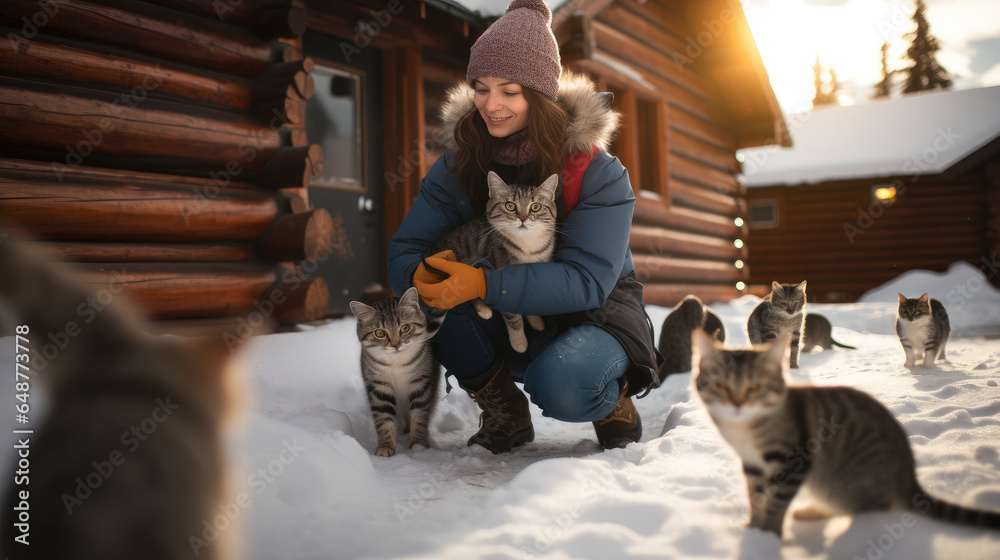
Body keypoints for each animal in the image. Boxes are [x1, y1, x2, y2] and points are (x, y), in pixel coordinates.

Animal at [354, 286, 444, 458]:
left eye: (405, 328)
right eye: (380, 333)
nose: (396, 345)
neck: (396, 364)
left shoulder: (421, 383)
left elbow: (419, 416)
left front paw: (419, 445)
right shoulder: (379, 387)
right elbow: (383, 419)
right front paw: (385, 447)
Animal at [424, 173, 564, 352]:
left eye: (536, 207)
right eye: (510, 206)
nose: (523, 218)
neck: (527, 245)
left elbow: (531, 299)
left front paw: (535, 321)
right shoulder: (500, 277)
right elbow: (513, 316)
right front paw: (519, 341)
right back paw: (483, 309)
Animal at [692, 330, 1000, 536]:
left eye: (755, 387)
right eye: (720, 385)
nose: (737, 404)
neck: (746, 432)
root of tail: (909, 476)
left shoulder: (795, 463)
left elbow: (776, 506)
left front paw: (767, 537)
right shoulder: (752, 466)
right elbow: (754, 498)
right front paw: (752, 530)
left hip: (842, 482)